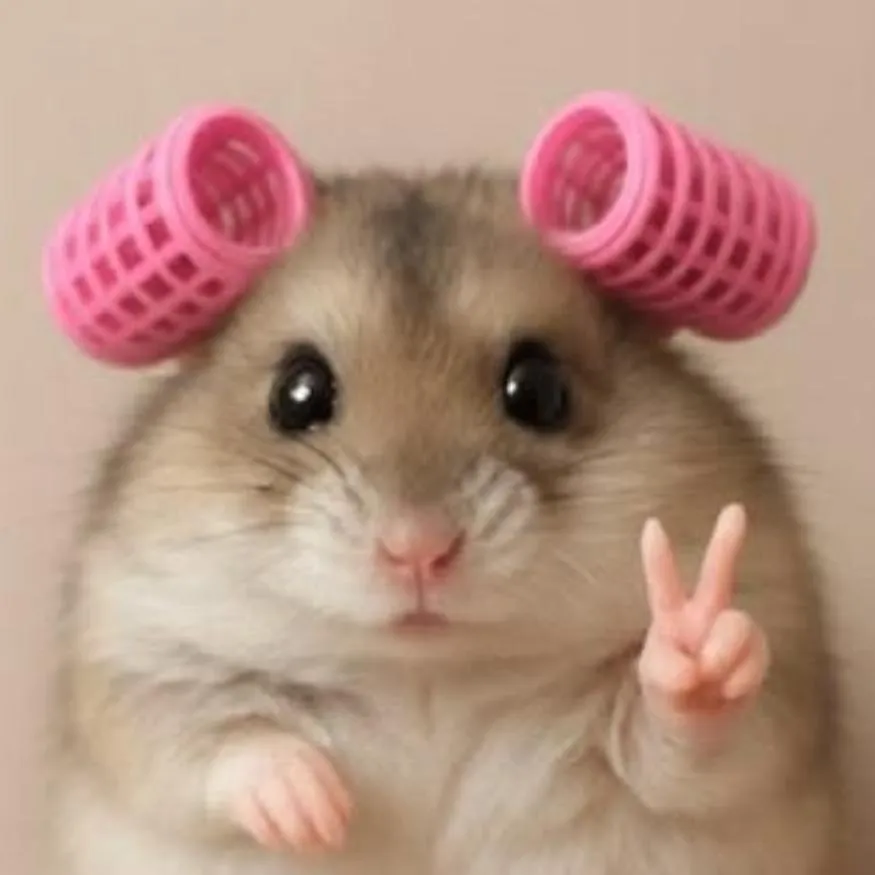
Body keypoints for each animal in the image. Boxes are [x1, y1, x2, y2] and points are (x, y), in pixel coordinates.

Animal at [47, 169, 844, 875]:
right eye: (296, 394)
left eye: (540, 389)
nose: (417, 550)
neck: (427, 670)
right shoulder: (134, 653)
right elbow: (209, 737)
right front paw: (316, 808)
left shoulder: (773, 683)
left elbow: (682, 737)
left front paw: (696, 639)